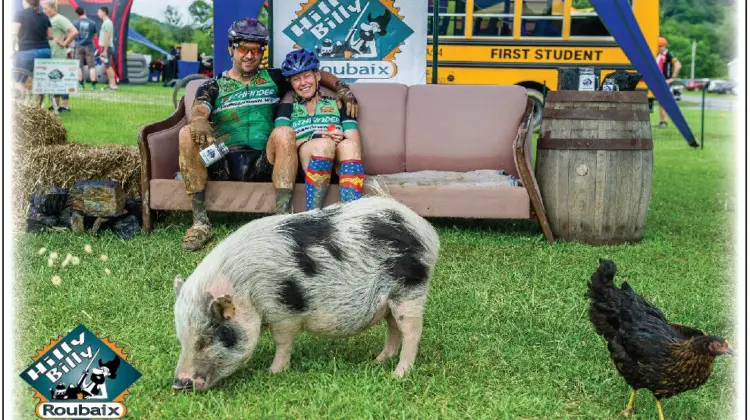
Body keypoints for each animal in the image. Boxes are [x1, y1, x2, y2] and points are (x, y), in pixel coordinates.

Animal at [172, 194, 440, 390]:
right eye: (182, 338)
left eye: (207, 339)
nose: (178, 384)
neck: (245, 290)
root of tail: (425, 230)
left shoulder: (283, 311)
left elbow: (283, 343)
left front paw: (273, 372)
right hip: (389, 300)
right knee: (393, 326)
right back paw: (378, 360)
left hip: (411, 289)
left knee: (412, 330)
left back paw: (398, 374)